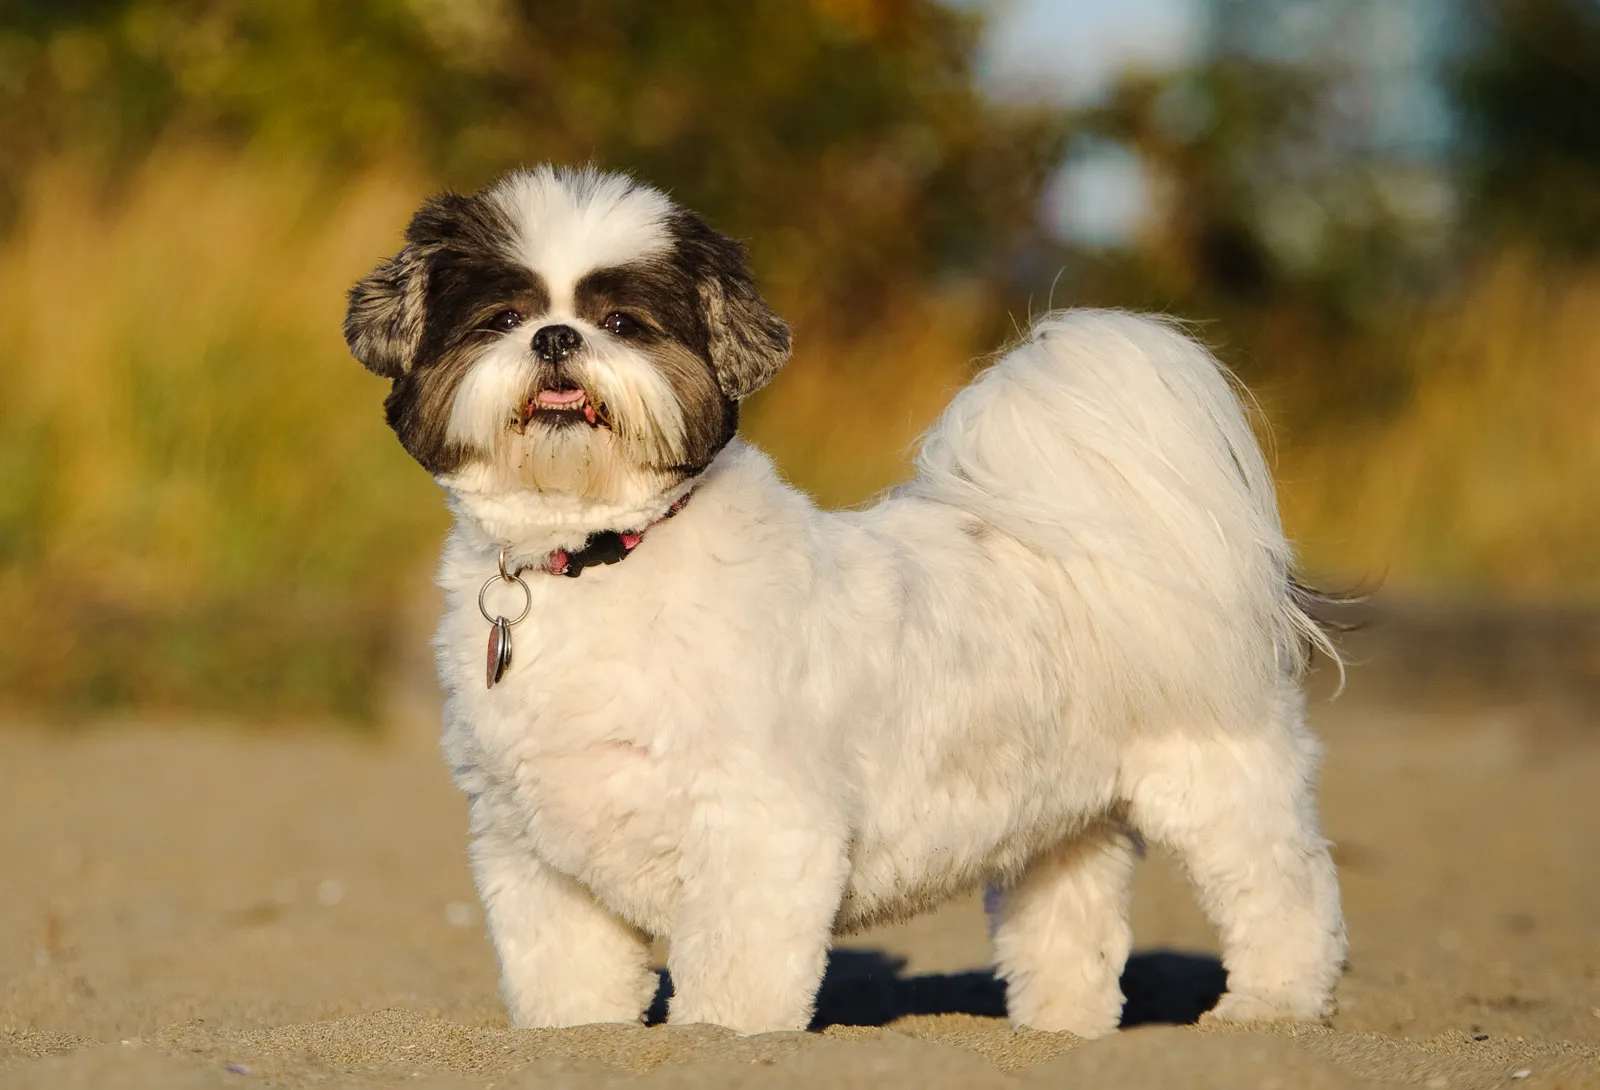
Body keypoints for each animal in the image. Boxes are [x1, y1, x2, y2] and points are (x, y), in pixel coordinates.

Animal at [347, 165, 1350, 1030]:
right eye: (502, 318)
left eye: (624, 323)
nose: (556, 338)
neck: (598, 558)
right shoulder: (534, 850)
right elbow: (570, 977)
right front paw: (582, 1036)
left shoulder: (758, 826)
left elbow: (738, 979)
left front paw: (720, 1037)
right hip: (1059, 819)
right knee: (1072, 921)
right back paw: (1060, 1031)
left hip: (1218, 777)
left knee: (1282, 892)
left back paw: (1270, 1008)